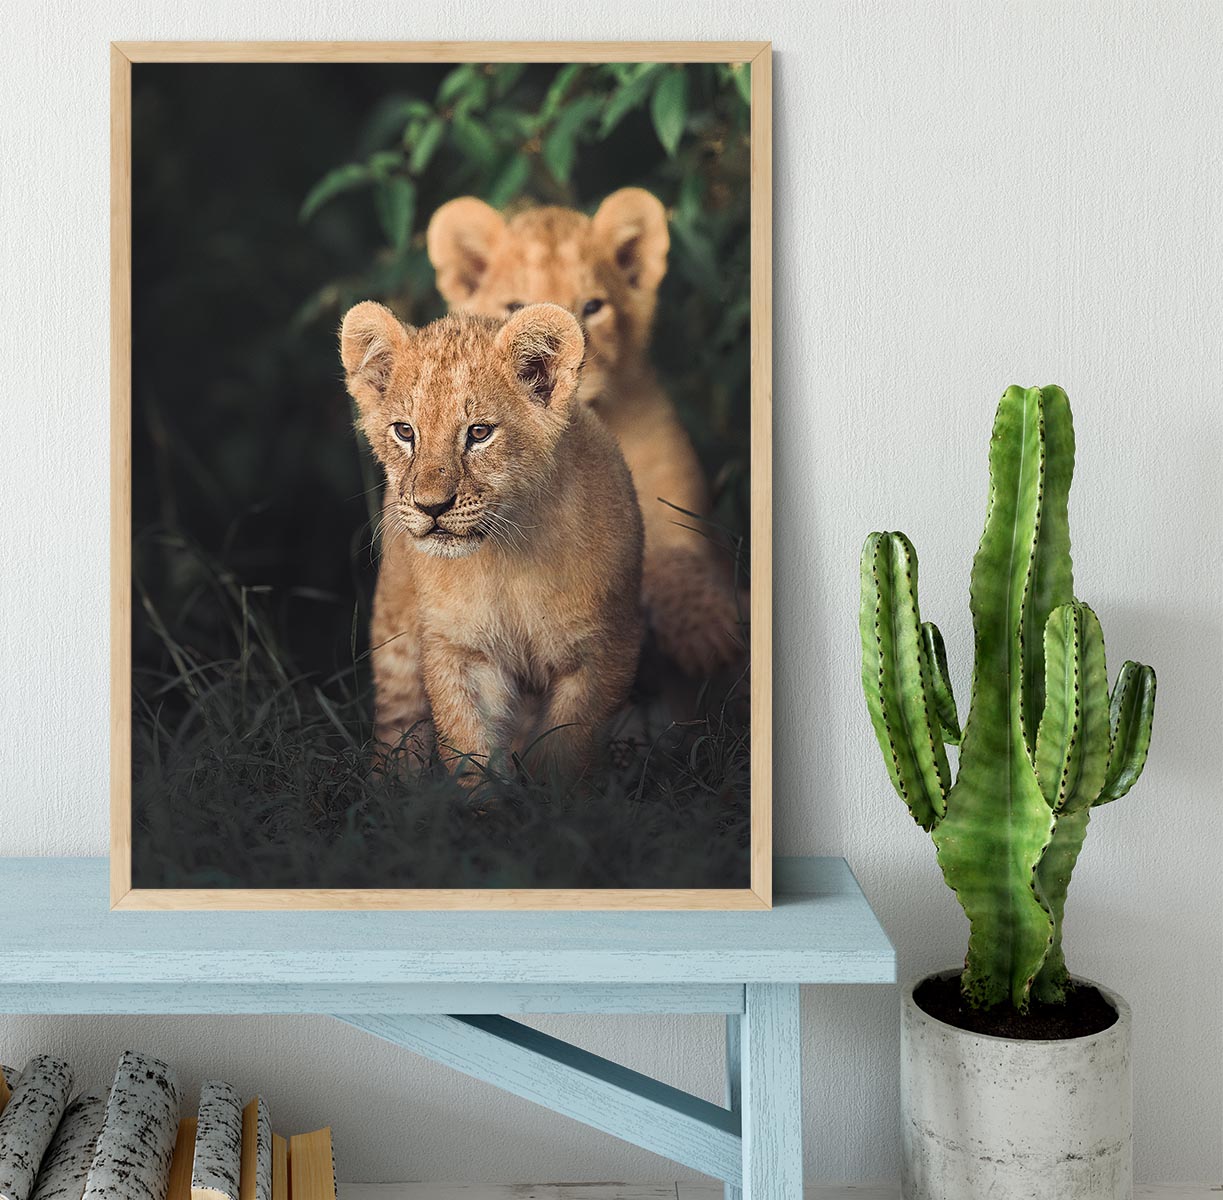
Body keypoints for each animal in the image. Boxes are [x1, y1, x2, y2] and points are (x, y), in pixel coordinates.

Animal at [340, 300, 644, 781]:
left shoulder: (606, 649)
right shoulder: (459, 650)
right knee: (398, 725)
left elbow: (565, 750)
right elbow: (470, 751)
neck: (508, 556)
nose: (430, 507)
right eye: (405, 432)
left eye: (479, 433)